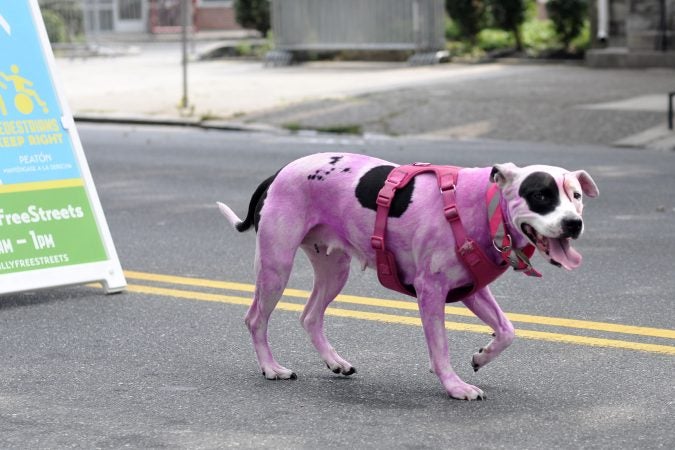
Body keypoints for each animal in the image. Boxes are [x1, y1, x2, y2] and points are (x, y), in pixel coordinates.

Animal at [219, 152, 600, 400]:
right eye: (540, 195)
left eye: (576, 196)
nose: (573, 223)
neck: (482, 206)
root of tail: (279, 173)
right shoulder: (430, 291)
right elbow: (441, 345)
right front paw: (454, 386)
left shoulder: (473, 290)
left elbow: (507, 331)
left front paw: (481, 356)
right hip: (276, 266)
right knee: (256, 319)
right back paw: (271, 368)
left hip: (333, 270)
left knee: (310, 316)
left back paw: (335, 362)